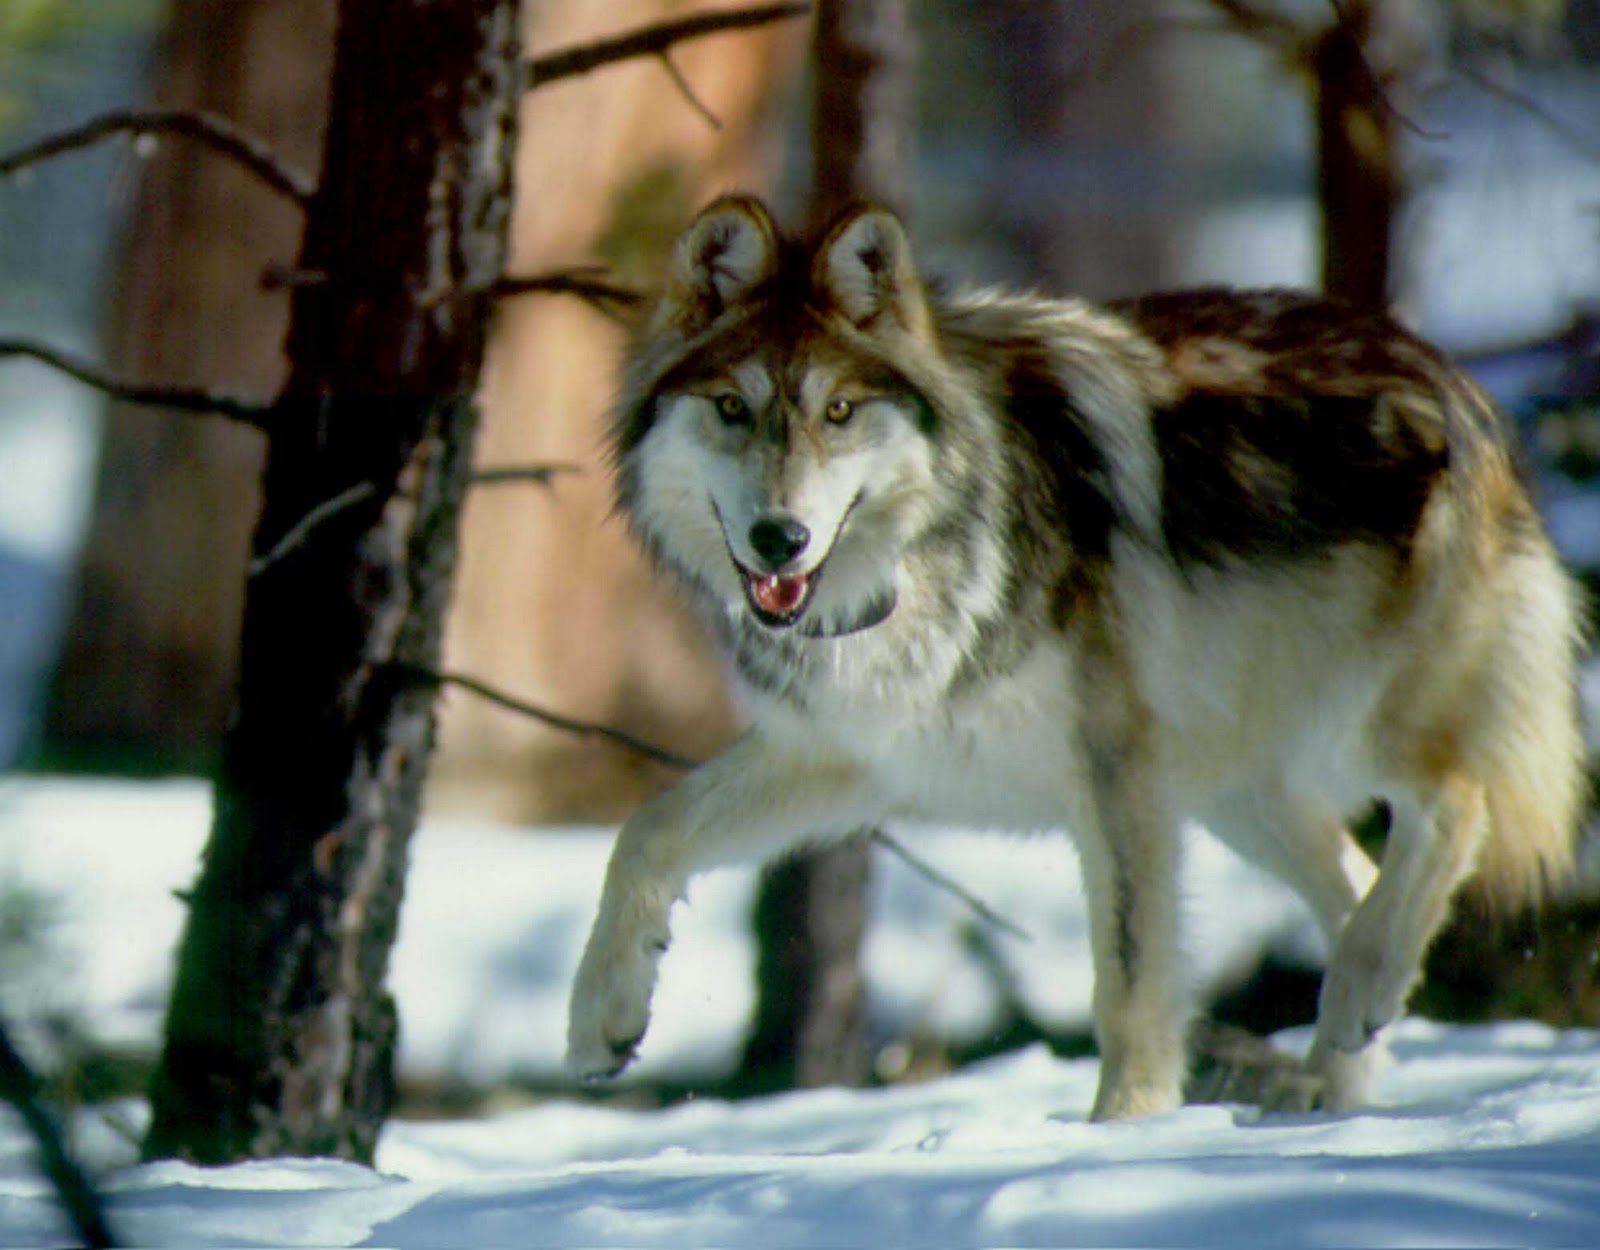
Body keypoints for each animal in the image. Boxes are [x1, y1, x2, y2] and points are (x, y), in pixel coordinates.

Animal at [566, 194, 1587, 1119]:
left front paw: (1122, 1130)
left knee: (1456, 803)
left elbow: (1131, 985)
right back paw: (1335, 1075)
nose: (781, 539)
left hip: (1353, 727)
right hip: (1231, 791)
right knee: (1360, 881)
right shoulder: (853, 755)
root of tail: (1453, 378)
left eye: (841, 410)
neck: (918, 568)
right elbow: (644, 833)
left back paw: (1356, 1003)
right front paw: (599, 1021)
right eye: (732, 409)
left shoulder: (1115, 774)